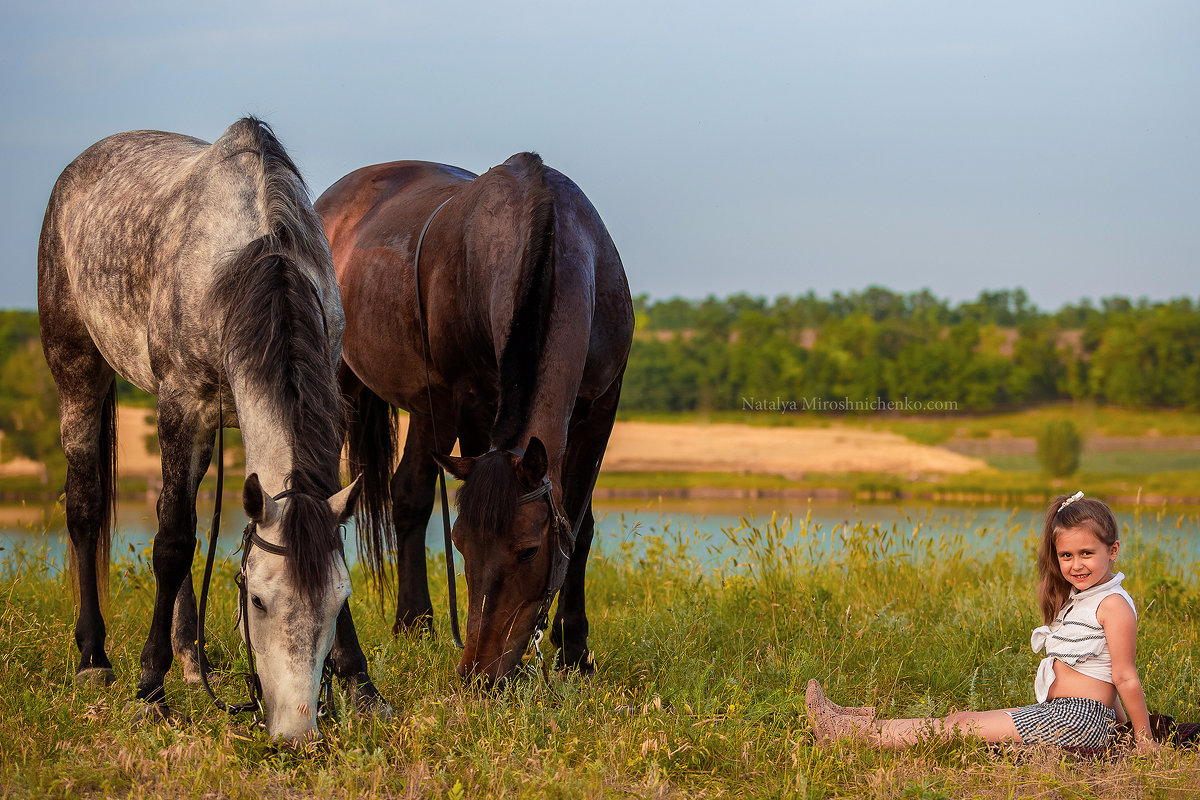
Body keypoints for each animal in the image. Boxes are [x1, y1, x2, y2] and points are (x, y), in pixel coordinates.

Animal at [37, 115, 381, 743]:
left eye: (337, 599)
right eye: (258, 602)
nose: (296, 733)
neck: (253, 256)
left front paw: (362, 685)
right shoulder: (182, 408)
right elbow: (172, 544)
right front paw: (150, 690)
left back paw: (192, 661)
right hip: (78, 373)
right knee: (86, 508)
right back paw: (95, 659)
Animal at [319, 153, 638, 686]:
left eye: (529, 549)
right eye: (460, 544)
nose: (479, 674)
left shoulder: (600, 410)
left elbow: (581, 527)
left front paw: (574, 650)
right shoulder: (471, 402)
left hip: (429, 409)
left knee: (409, 492)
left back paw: (415, 622)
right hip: (351, 387)